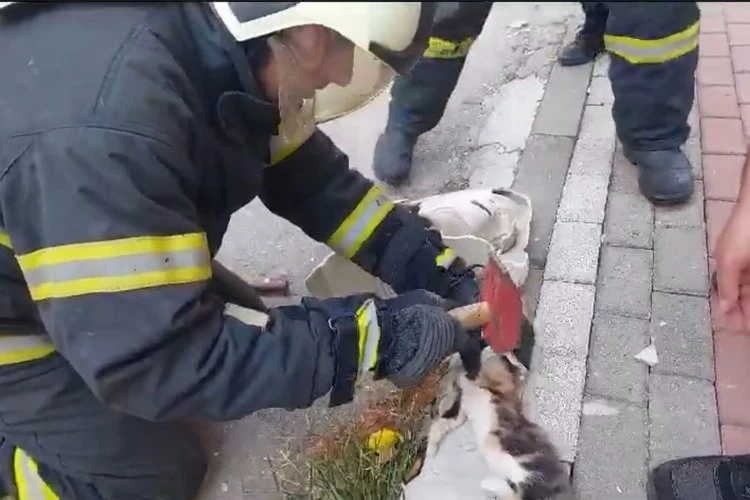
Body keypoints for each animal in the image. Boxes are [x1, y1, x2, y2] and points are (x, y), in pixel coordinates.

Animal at [426, 342, 572, 500]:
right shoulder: (460, 412)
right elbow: (440, 425)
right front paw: (430, 450)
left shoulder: (499, 383)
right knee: (516, 490)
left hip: (527, 461)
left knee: (523, 485)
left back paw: (490, 483)